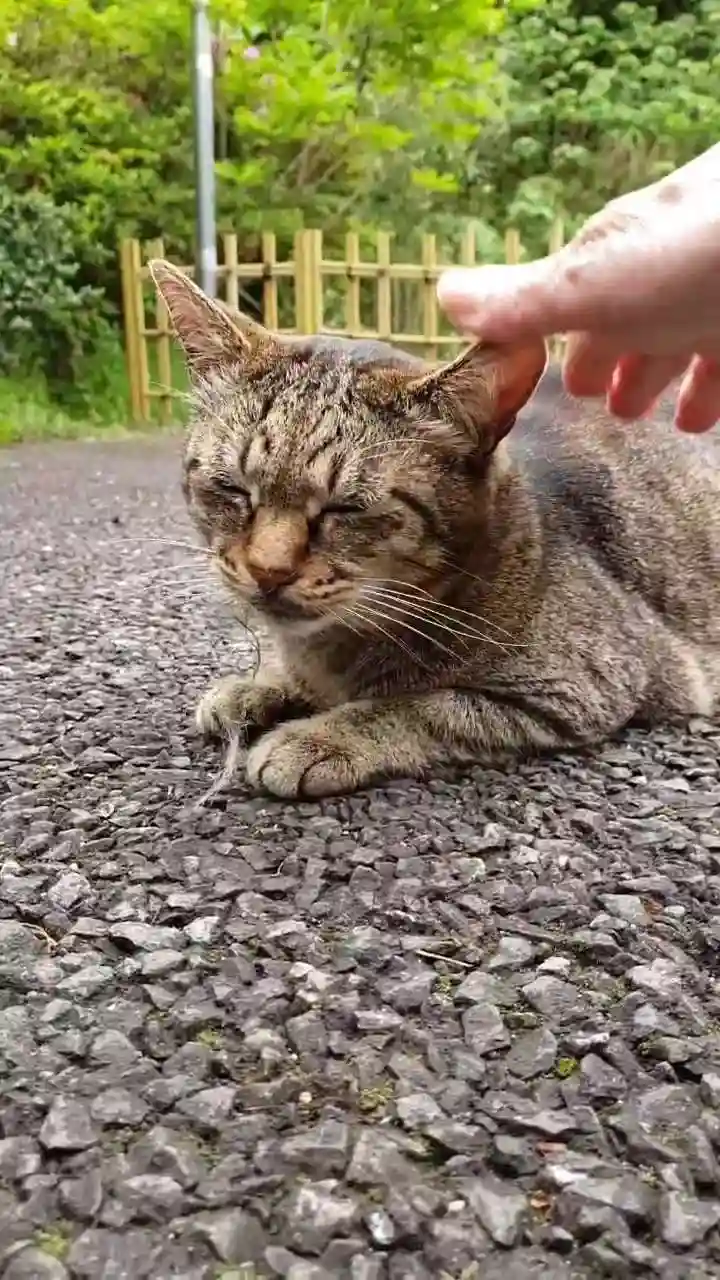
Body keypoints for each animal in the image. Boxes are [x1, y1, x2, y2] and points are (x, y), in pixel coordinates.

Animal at [150, 258, 720, 799]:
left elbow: (421, 705)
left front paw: (320, 735)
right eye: (233, 489)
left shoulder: (585, 687)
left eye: (345, 509)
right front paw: (259, 685)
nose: (268, 570)